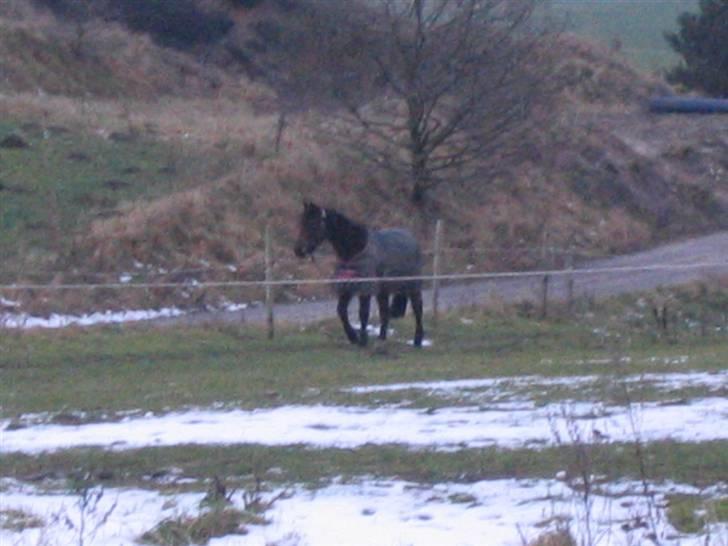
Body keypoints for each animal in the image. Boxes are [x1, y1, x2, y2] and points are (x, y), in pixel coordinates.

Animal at [292, 202, 424, 346]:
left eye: (313, 224)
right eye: (301, 223)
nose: (298, 250)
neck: (355, 250)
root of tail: (412, 239)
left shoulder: (364, 287)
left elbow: (363, 313)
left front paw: (363, 339)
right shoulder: (347, 287)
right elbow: (341, 311)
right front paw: (353, 337)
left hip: (413, 285)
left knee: (417, 308)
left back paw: (418, 340)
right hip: (383, 289)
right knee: (384, 311)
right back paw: (381, 338)